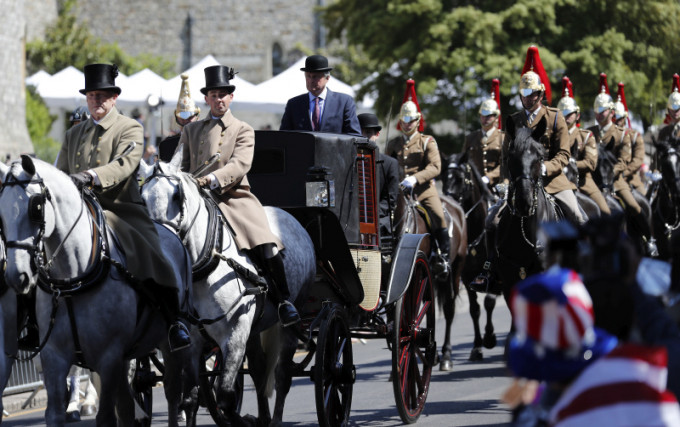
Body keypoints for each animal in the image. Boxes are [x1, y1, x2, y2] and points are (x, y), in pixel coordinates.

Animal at [0, 158, 191, 427]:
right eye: (1, 214)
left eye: (35, 208)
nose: (17, 276)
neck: (72, 280)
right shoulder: (54, 356)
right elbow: (54, 413)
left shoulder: (108, 357)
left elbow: (107, 416)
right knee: (127, 405)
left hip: (169, 342)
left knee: (173, 392)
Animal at [446, 153, 500, 362]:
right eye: (443, 177)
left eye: (461, 179)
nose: (449, 205)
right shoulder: (467, 276)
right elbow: (474, 309)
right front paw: (477, 347)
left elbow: (489, 302)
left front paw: (490, 337)